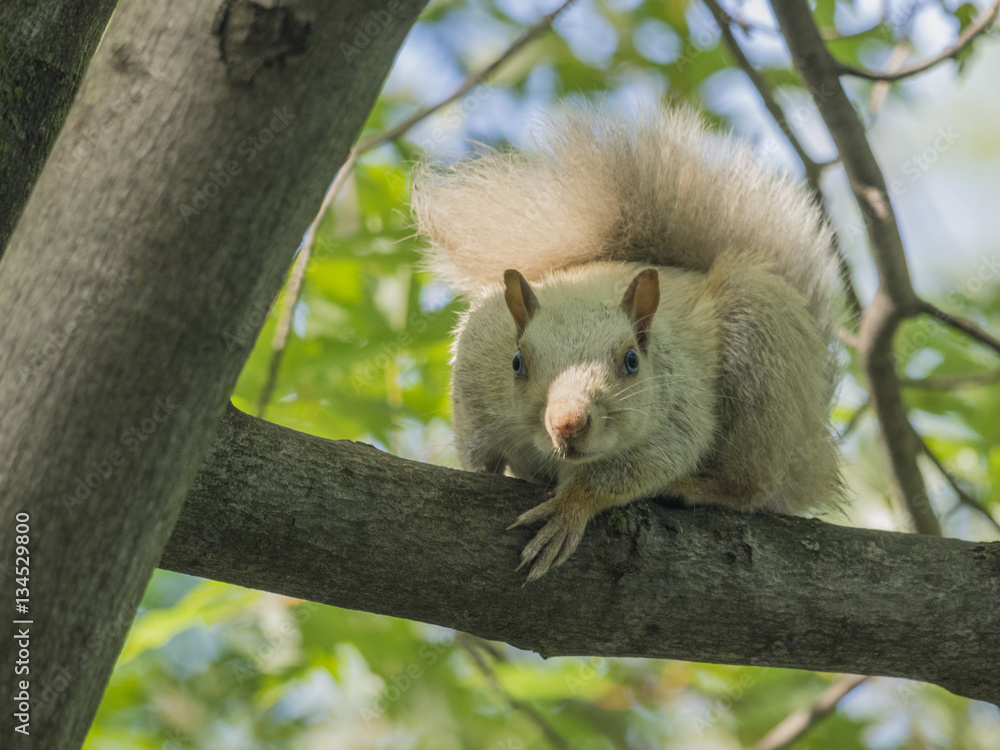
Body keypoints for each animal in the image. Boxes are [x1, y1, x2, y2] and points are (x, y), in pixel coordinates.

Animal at [412, 103, 844, 582]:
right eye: (517, 362)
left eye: (632, 361)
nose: (567, 423)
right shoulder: (474, 362)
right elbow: (475, 448)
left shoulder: (679, 407)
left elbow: (650, 461)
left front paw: (570, 507)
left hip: (765, 358)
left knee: (754, 485)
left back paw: (698, 488)